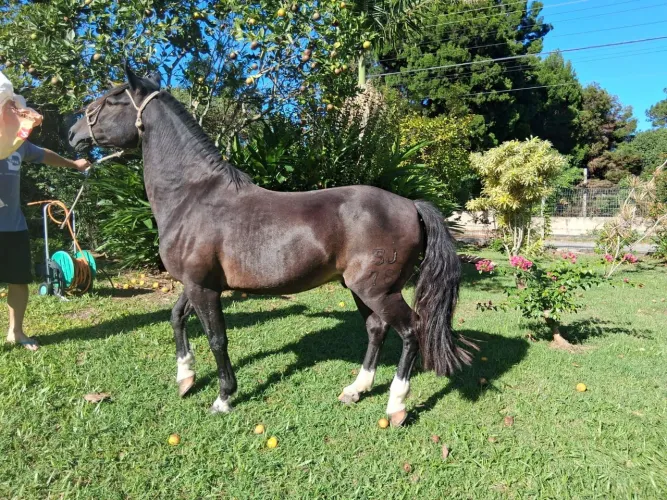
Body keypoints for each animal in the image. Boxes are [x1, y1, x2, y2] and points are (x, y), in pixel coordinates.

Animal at [68, 63, 473, 427]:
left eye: (110, 100)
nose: (72, 133)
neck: (193, 196)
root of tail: (411, 205)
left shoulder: (203, 288)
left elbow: (217, 338)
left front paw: (223, 397)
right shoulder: (195, 283)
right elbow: (176, 317)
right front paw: (185, 378)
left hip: (378, 290)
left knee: (411, 330)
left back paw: (396, 407)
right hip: (363, 289)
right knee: (376, 329)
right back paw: (356, 389)